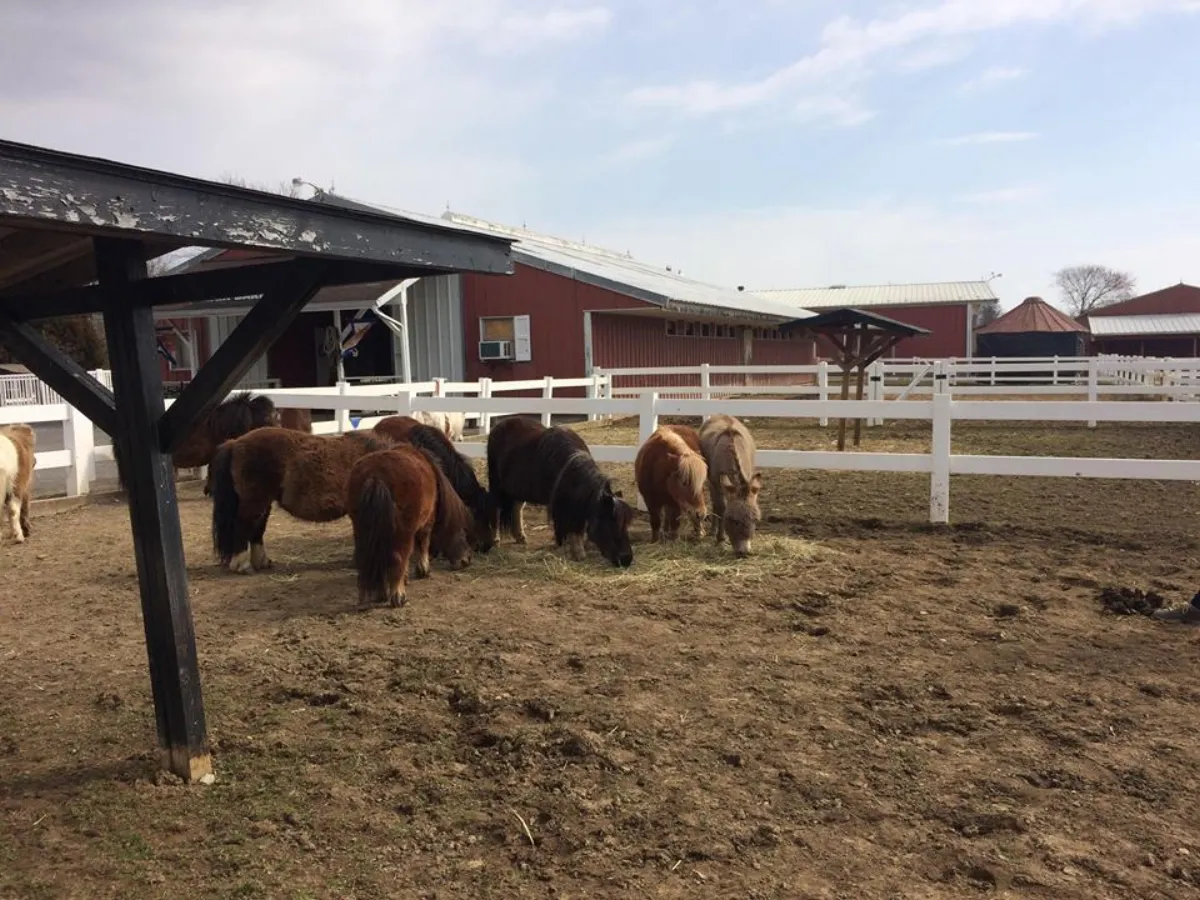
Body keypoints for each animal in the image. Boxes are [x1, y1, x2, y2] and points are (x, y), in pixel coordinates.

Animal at [210, 427, 393, 574]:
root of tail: (235, 443)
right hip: (254, 502)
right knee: (243, 526)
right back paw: (243, 565)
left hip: (263, 504)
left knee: (257, 529)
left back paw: (262, 562)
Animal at [346, 445, 475, 609]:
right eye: (463, 532)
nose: (467, 559)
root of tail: (375, 475)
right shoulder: (426, 523)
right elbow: (423, 544)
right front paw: (423, 570)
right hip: (402, 533)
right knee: (398, 557)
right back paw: (398, 596)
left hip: (362, 531)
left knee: (367, 558)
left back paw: (371, 596)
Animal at [486, 415, 633, 567]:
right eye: (611, 522)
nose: (626, 559)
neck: (569, 465)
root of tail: (499, 425)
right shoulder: (561, 504)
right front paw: (573, 551)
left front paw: (578, 552)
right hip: (496, 482)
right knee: (496, 507)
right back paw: (496, 540)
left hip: (518, 488)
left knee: (517, 507)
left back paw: (520, 537)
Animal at [698, 414, 762, 557]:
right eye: (733, 520)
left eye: (755, 520)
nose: (744, 552)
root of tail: (721, 414)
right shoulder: (716, 482)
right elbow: (721, 508)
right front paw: (721, 538)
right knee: (716, 504)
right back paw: (713, 530)